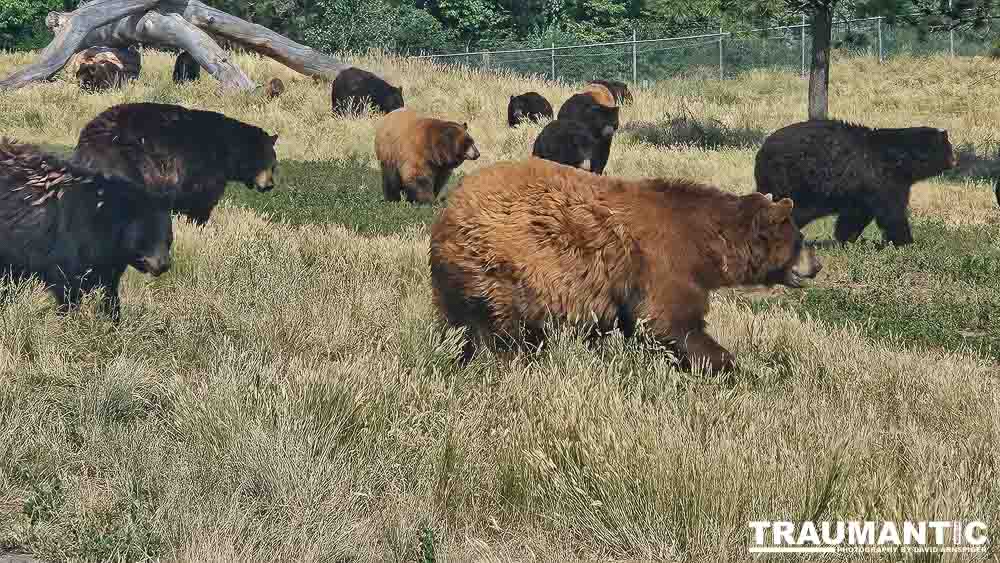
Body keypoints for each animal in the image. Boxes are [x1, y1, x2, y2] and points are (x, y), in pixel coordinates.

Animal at [73, 102, 280, 226]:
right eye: (264, 162)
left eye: (274, 165)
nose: (270, 185)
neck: (228, 150)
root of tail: (85, 138)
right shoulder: (203, 168)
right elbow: (202, 199)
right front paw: (199, 224)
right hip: (123, 160)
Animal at [430, 156, 820, 374]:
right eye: (801, 239)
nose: (816, 265)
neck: (704, 244)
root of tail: (446, 214)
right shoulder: (662, 265)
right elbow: (669, 321)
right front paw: (727, 365)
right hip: (500, 268)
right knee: (502, 331)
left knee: (462, 328)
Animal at [756, 120, 952, 246]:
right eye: (949, 149)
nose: (954, 160)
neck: (901, 159)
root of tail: (763, 148)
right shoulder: (883, 180)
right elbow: (892, 213)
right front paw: (907, 242)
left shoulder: (862, 191)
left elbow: (855, 215)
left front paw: (846, 239)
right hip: (793, 182)